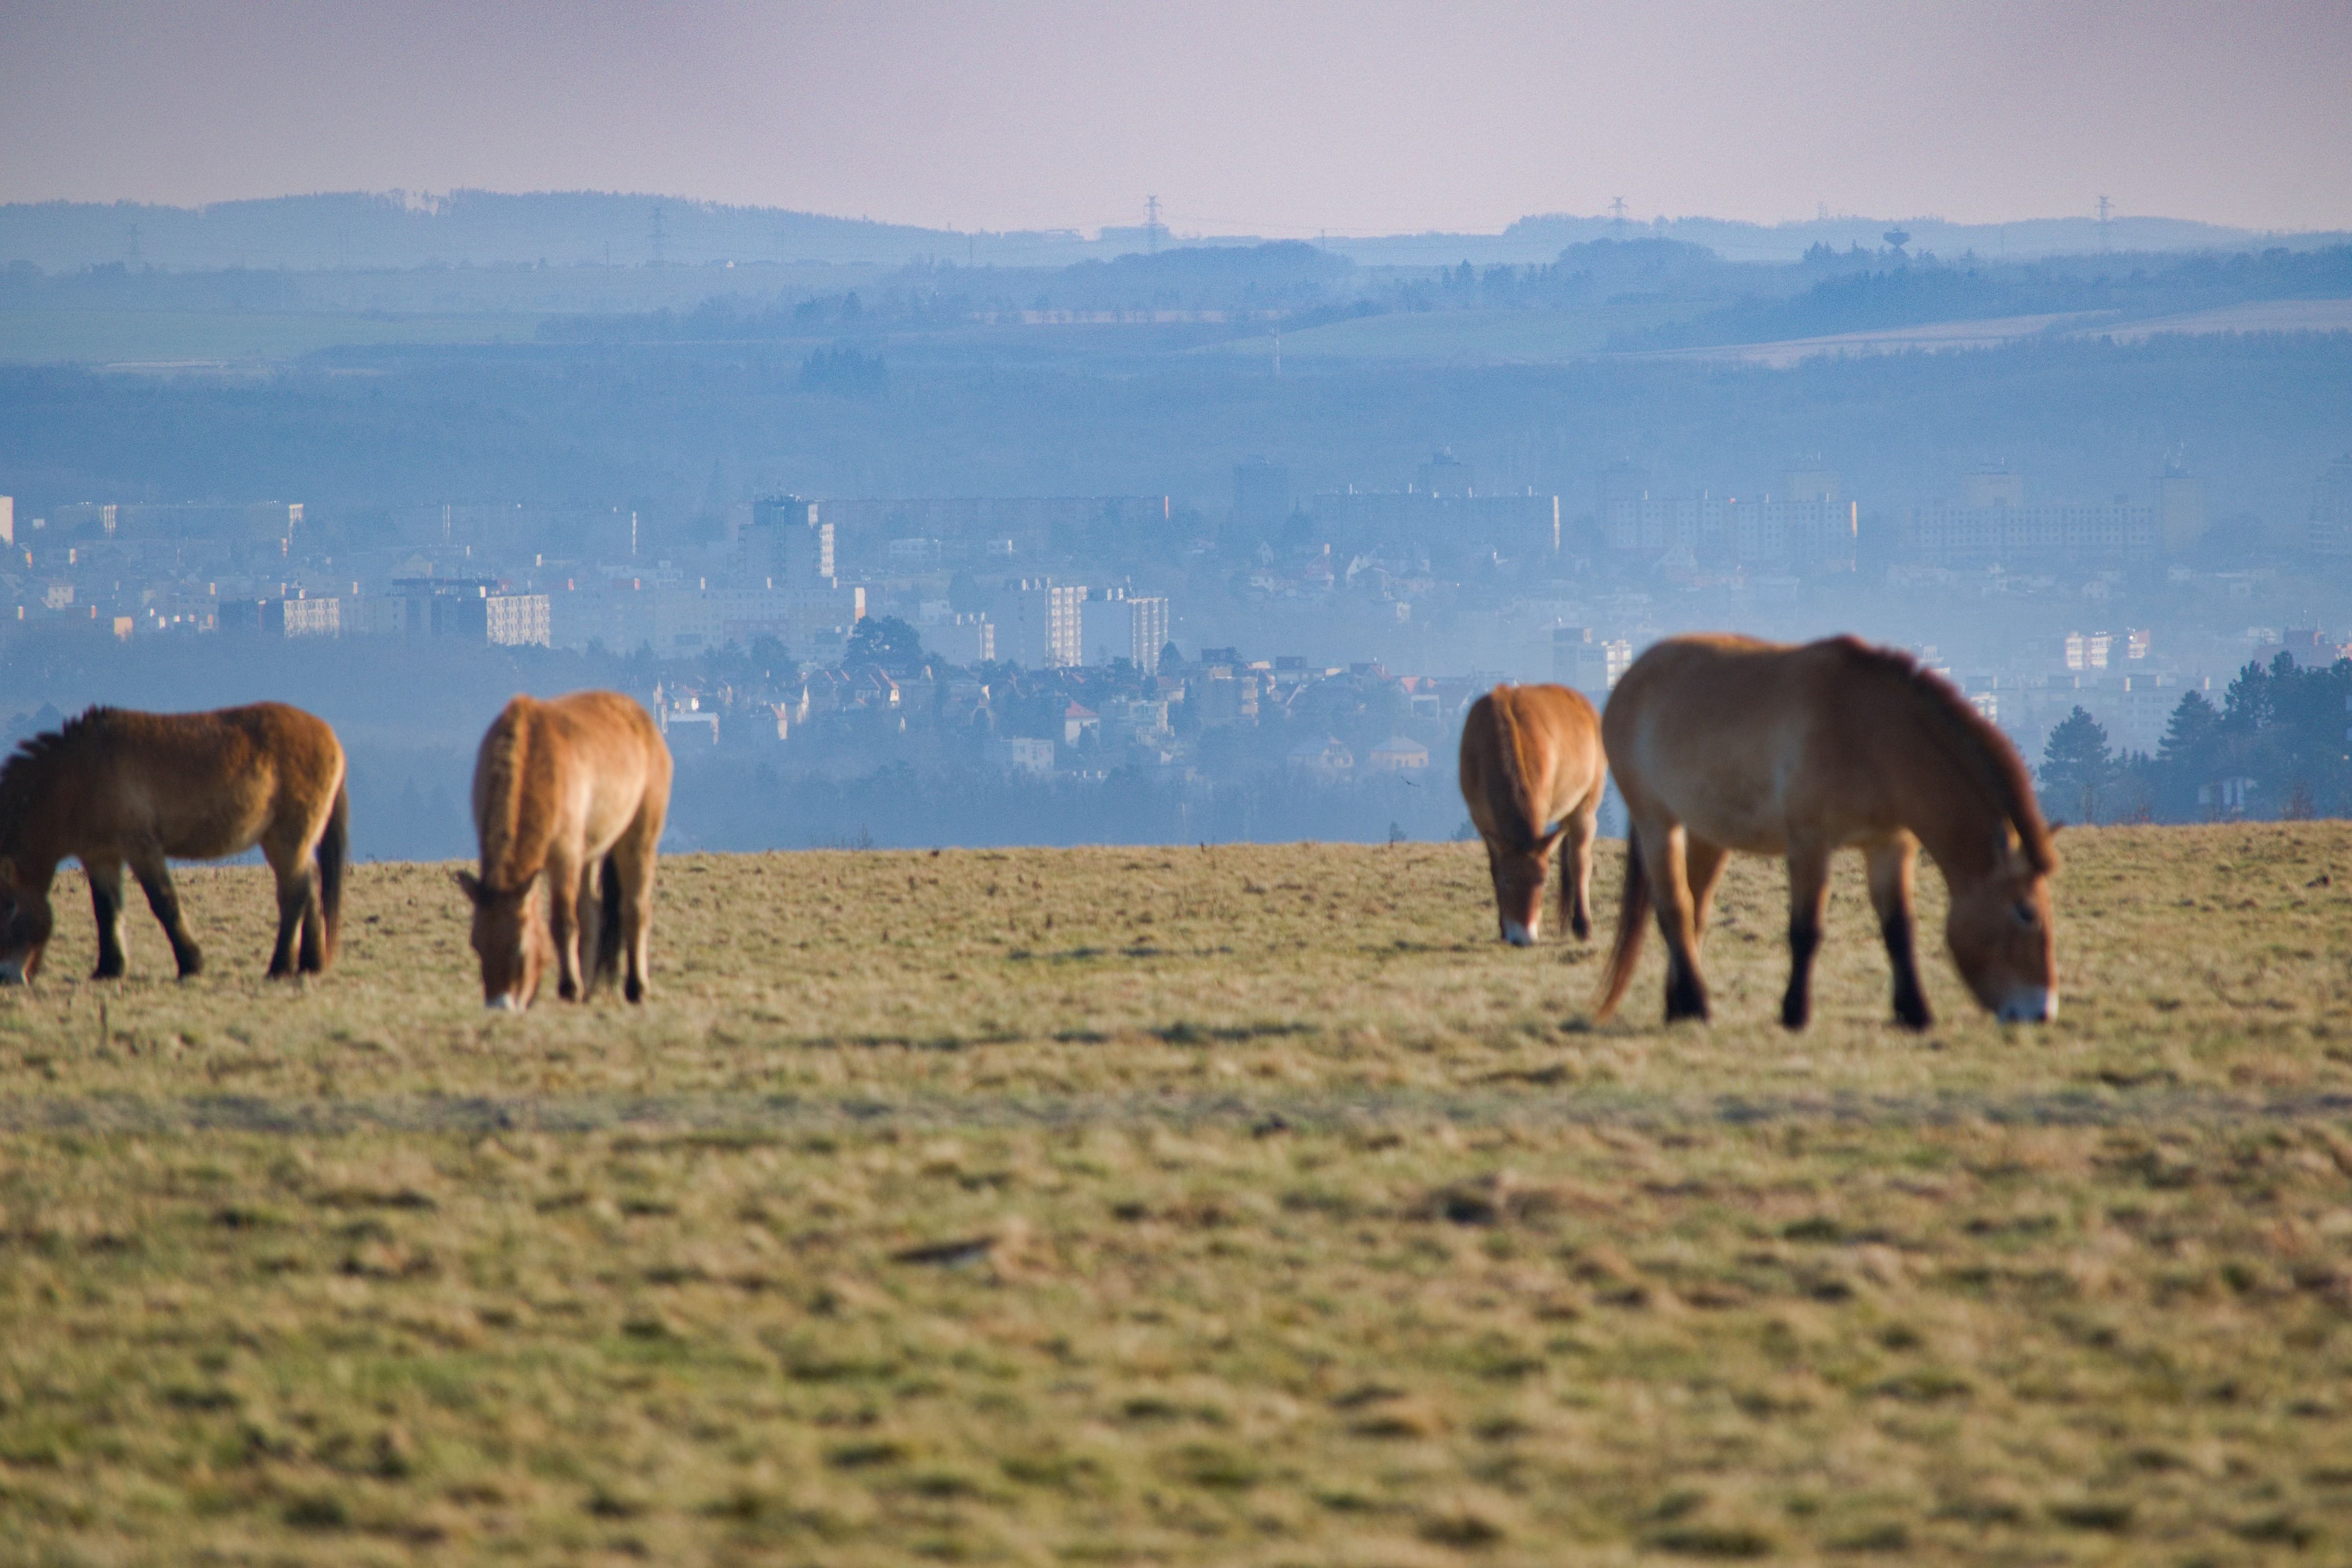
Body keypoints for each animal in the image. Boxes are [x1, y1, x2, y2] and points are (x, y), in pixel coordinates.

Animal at [0, 703, 348, 983]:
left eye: (9, 906)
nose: (7, 977)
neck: (80, 772)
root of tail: (329, 736)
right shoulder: (100, 857)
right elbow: (107, 910)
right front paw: (109, 969)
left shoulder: (142, 849)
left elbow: (165, 903)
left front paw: (191, 964)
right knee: (310, 887)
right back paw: (310, 965)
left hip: (286, 841)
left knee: (295, 894)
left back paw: (279, 968)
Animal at [455, 690, 671, 1011]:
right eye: (476, 944)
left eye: (519, 946)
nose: (499, 1005)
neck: (532, 757)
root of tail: (640, 717)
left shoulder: (564, 857)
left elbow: (564, 923)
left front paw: (569, 988)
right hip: (591, 853)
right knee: (592, 911)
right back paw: (589, 988)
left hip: (638, 840)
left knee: (635, 910)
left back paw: (636, 988)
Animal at [1458, 683, 1609, 946]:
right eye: (1508, 881)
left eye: (1543, 880)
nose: (1524, 937)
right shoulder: (1482, 819)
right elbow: (1494, 867)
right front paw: (1503, 928)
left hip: (1586, 805)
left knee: (1579, 860)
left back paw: (1582, 924)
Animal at [1595, 634, 2058, 1030]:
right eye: (2026, 912)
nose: (2042, 1012)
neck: (1871, 737)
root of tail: (1630, 677)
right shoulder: (1810, 846)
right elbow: (1806, 931)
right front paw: (1795, 1012)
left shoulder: (1890, 846)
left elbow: (1899, 929)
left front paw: (1916, 1011)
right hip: (1658, 824)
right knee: (1675, 908)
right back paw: (1697, 1003)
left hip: (1708, 835)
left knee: (1696, 908)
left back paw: (1678, 1006)